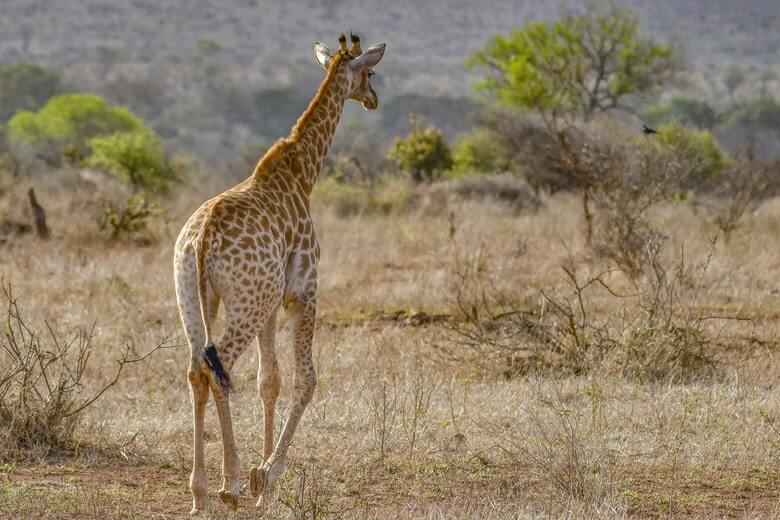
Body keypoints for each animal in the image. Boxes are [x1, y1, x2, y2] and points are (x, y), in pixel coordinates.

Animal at [173, 33, 385, 514]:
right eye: (370, 72)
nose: (374, 100)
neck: (303, 173)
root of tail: (201, 240)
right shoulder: (303, 288)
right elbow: (306, 379)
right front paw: (267, 474)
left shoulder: (271, 302)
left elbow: (269, 381)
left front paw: (262, 477)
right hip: (244, 304)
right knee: (217, 367)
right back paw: (228, 484)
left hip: (194, 298)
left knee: (197, 369)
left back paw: (199, 492)